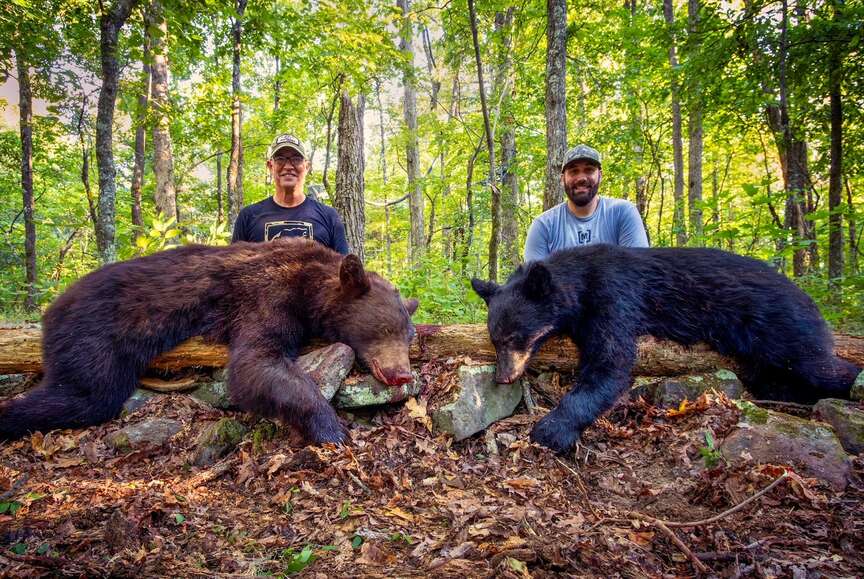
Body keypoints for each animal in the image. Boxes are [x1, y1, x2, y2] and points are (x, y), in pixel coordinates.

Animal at [0, 238, 419, 445]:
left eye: (408, 334)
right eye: (383, 329)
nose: (402, 374)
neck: (309, 282)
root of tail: (55, 305)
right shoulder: (266, 295)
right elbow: (256, 362)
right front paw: (332, 428)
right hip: (94, 330)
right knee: (87, 393)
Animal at [471, 244, 861, 454]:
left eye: (515, 337)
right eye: (495, 338)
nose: (503, 377)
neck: (580, 282)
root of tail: (809, 298)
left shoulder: (614, 297)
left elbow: (610, 364)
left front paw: (551, 428)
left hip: (784, 327)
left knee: (821, 365)